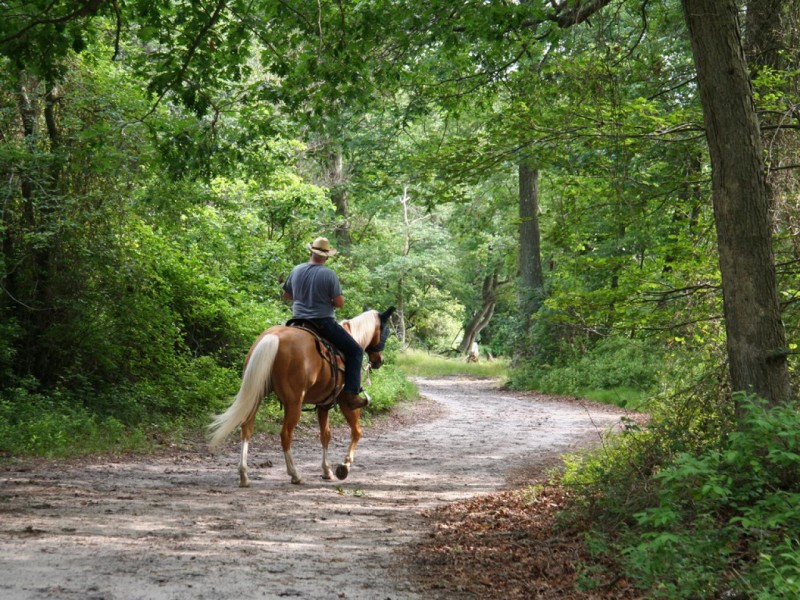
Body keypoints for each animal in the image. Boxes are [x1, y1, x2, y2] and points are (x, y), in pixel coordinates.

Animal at [208, 307, 395, 486]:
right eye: (385, 331)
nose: (379, 360)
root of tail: (273, 337)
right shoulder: (346, 402)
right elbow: (356, 432)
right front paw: (344, 466)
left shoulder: (323, 405)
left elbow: (325, 435)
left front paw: (326, 471)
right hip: (294, 403)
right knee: (285, 435)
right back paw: (295, 475)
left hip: (256, 395)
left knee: (246, 428)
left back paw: (244, 475)